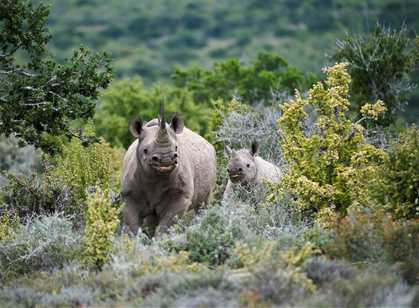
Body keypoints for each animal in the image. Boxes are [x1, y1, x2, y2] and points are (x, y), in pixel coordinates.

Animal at [120, 105, 215, 236]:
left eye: (176, 148)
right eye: (145, 150)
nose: (166, 159)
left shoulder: (181, 196)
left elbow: (167, 225)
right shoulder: (129, 196)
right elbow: (132, 225)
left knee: (203, 203)